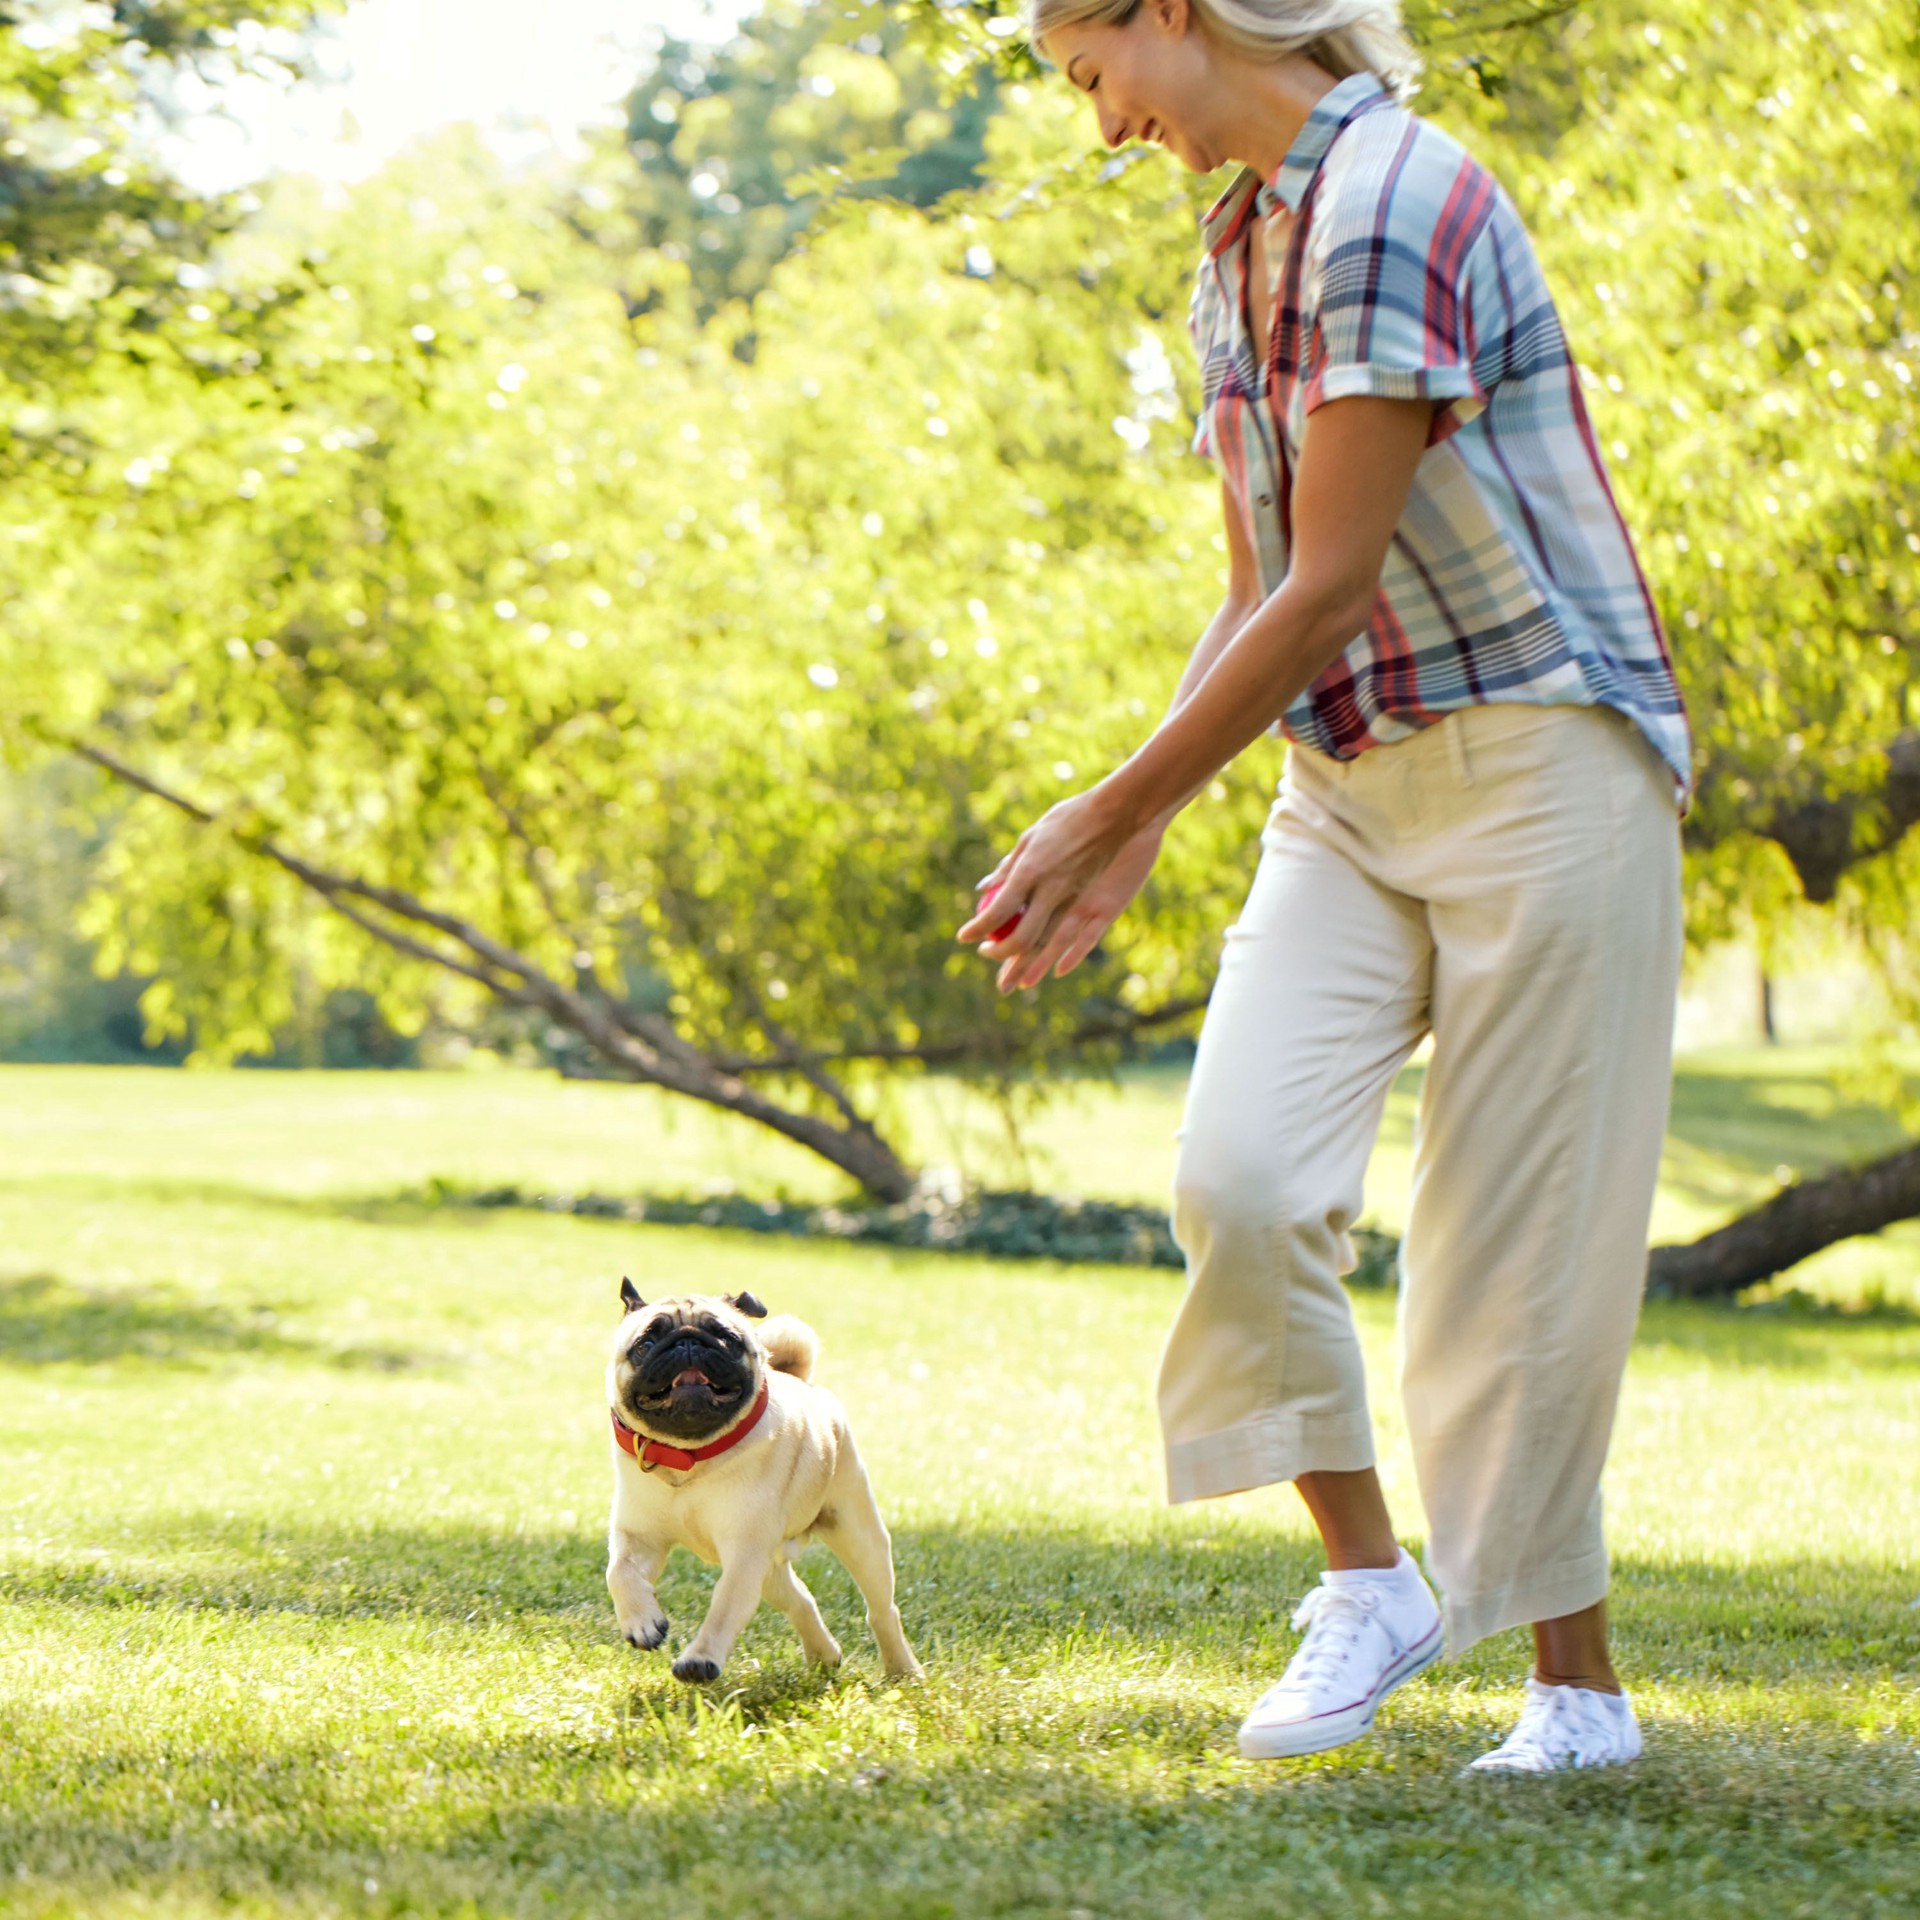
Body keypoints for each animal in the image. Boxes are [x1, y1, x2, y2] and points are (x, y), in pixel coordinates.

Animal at [602, 1282, 925, 1689]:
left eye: (726, 1339)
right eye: (645, 1344)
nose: (688, 1343)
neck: (689, 1457)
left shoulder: (744, 1555)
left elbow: (724, 1606)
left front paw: (700, 1659)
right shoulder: (638, 1539)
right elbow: (619, 1573)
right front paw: (642, 1623)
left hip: (859, 1536)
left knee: (882, 1610)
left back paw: (903, 1669)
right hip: (772, 1567)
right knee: (801, 1601)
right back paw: (823, 1654)